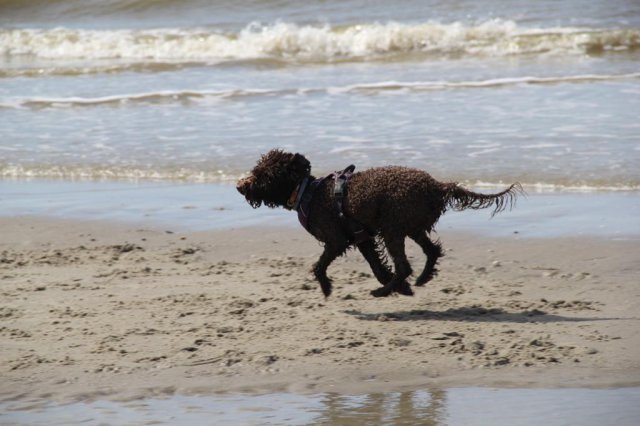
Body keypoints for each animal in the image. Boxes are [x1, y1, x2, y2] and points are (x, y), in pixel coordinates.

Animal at [235, 148, 520, 298]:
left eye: (263, 175)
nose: (239, 186)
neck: (307, 192)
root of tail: (438, 186)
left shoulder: (337, 240)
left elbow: (319, 265)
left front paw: (326, 287)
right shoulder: (362, 238)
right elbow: (377, 267)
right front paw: (401, 287)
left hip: (394, 229)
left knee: (405, 265)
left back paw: (384, 291)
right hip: (410, 227)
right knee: (431, 251)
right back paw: (420, 279)